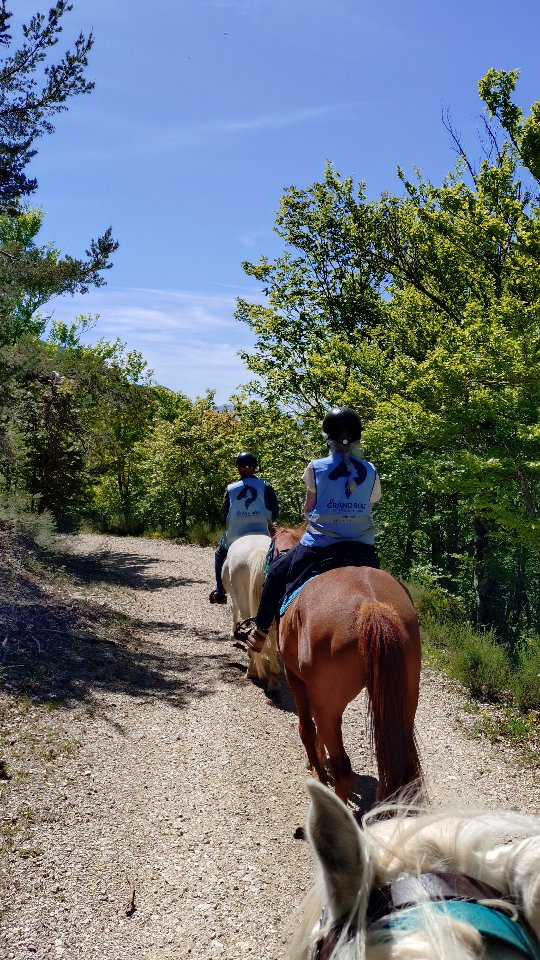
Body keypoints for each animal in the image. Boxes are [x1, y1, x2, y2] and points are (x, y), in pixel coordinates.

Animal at [221, 533, 281, 692]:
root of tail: (258, 550)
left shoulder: (233, 595)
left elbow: (234, 610)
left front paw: (233, 635)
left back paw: (252, 671)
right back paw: (274, 675)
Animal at [279, 560, 423, 805]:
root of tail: (372, 607)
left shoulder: (295, 678)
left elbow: (306, 728)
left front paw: (317, 770)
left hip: (328, 708)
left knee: (343, 771)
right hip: (406, 703)